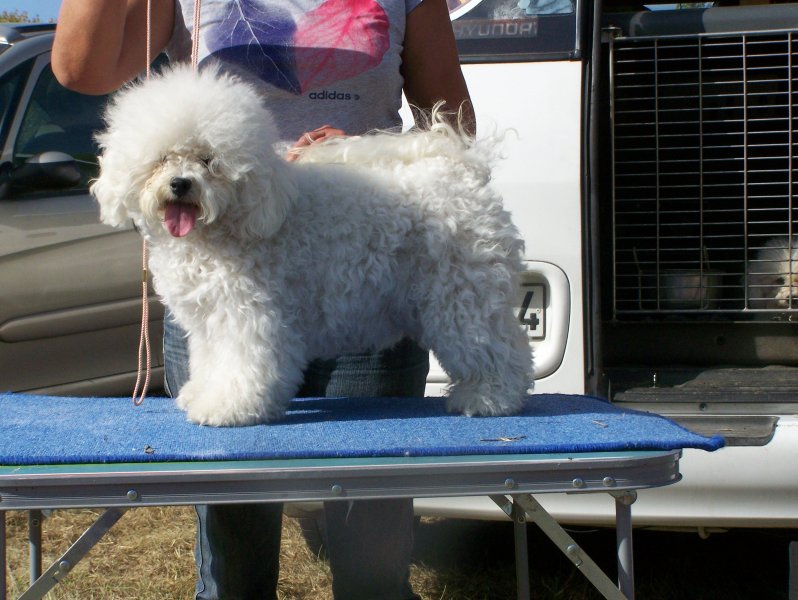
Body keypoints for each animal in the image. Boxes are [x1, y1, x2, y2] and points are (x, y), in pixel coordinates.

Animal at [90, 63, 536, 424]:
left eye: (209, 161)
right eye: (163, 159)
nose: (181, 184)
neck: (227, 226)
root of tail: (464, 171)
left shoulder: (250, 314)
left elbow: (244, 365)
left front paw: (229, 408)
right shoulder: (209, 320)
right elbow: (213, 363)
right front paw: (202, 395)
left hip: (460, 296)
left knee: (498, 349)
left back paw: (489, 398)